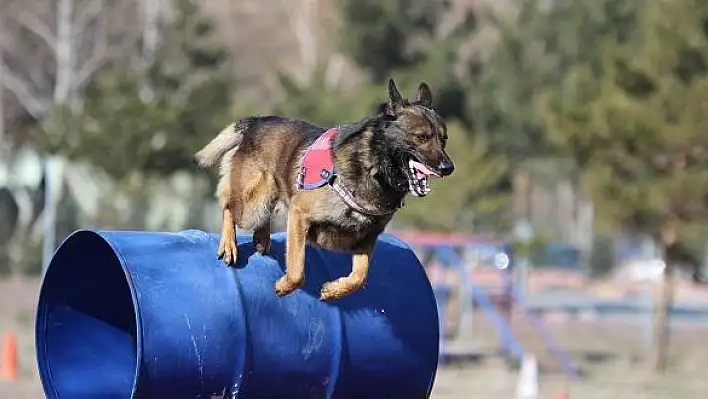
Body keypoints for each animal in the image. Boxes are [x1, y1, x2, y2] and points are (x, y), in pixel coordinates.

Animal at [195, 78, 454, 302]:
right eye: (422, 137)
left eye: (443, 140)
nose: (448, 168)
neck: (371, 166)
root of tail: (256, 122)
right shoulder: (299, 214)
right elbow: (297, 271)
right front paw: (284, 286)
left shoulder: (367, 239)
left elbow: (360, 278)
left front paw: (333, 291)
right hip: (253, 204)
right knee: (228, 206)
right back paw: (229, 244)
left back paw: (262, 237)